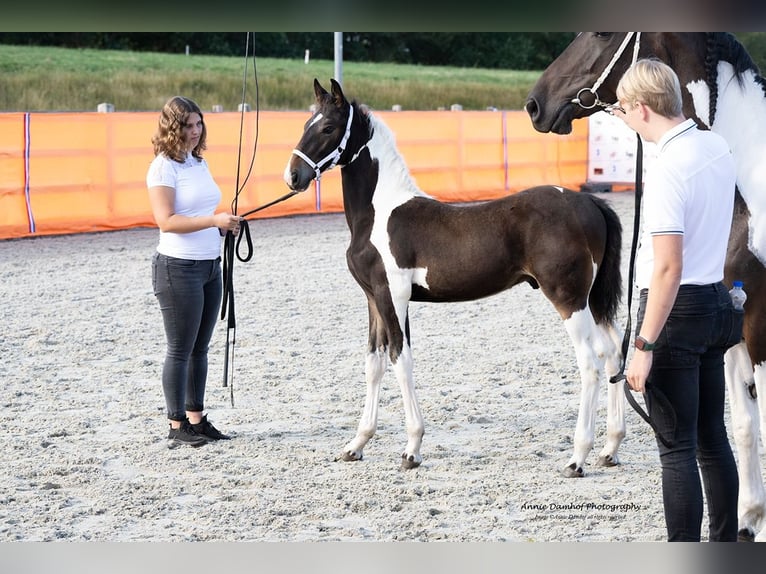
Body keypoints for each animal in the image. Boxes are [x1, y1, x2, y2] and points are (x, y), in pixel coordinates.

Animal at [284, 76, 628, 480]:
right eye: (305, 124)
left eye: (327, 127)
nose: (292, 176)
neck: (380, 212)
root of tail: (590, 203)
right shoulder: (374, 299)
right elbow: (374, 364)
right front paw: (356, 445)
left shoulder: (393, 295)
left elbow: (401, 360)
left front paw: (412, 449)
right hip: (592, 300)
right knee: (614, 353)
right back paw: (610, 448)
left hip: (568, 298)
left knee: (590, 362)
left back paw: (577, 457)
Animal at [528, 31, 766, 544]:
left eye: (601, 33)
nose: (536, 104)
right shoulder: (733, 333)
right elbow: (743, 427)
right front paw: (748, 518)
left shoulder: (761, 330)